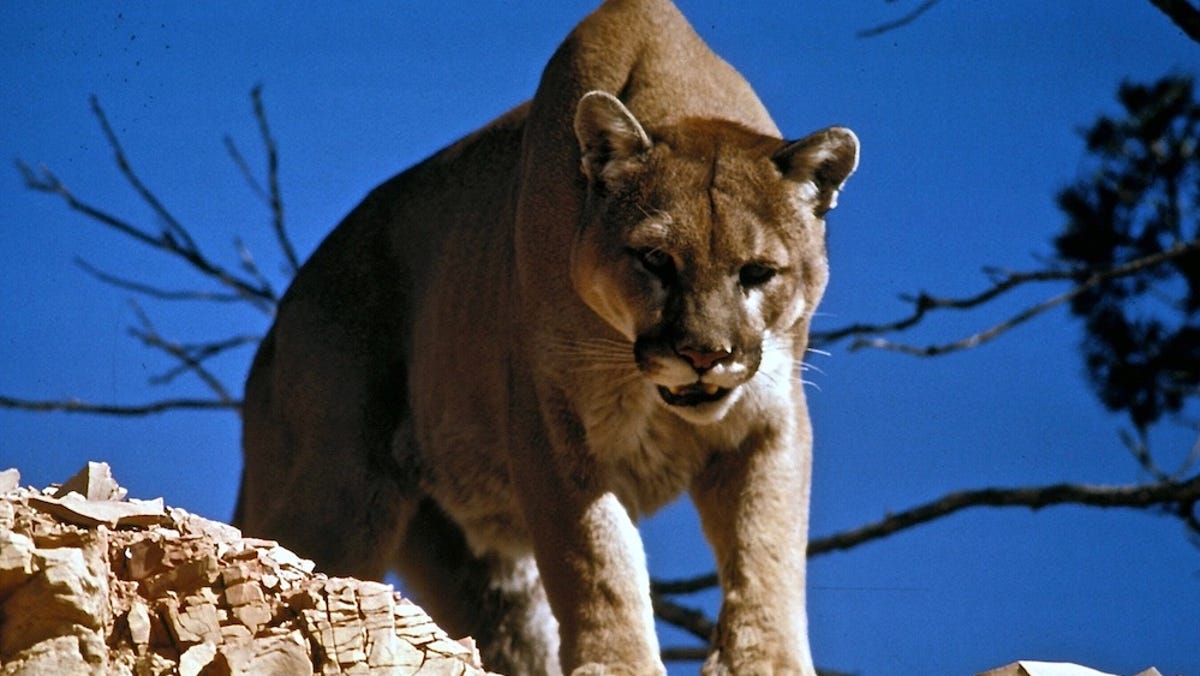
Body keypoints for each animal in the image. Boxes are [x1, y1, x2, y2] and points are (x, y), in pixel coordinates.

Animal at [237, 0, 859, 674]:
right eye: (656, 261)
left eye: (758, 272)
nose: (704, 354)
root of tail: (280, 320)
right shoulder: (552, 420)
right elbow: (596, 557)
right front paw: (619, 663)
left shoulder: (769, 418)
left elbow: (766, 550)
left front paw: (765, 660)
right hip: (340, 493)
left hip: (475, 563)